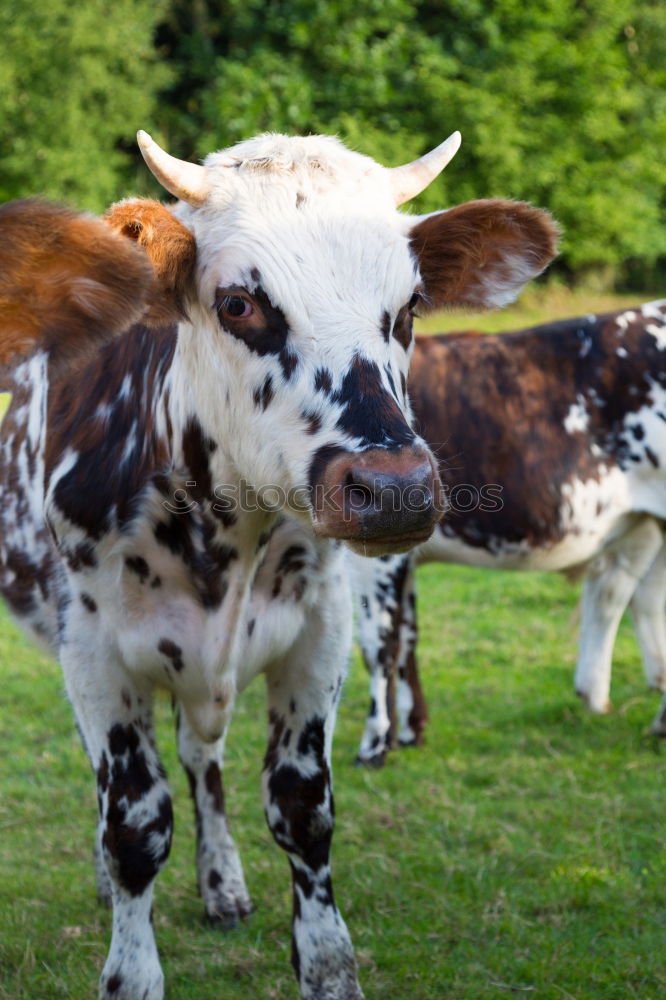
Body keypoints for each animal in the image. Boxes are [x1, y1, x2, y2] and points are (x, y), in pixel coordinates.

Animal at [0, 133, 556, 1000]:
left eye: (409, 308)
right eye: (239, 303)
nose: (394, 489)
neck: (223, 528)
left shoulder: (318, 632)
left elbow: (301, 809)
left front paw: (326, 964)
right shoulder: (92, 650)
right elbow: (133, 822)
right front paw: (131, 968)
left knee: (203, 761)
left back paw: (221, 881)